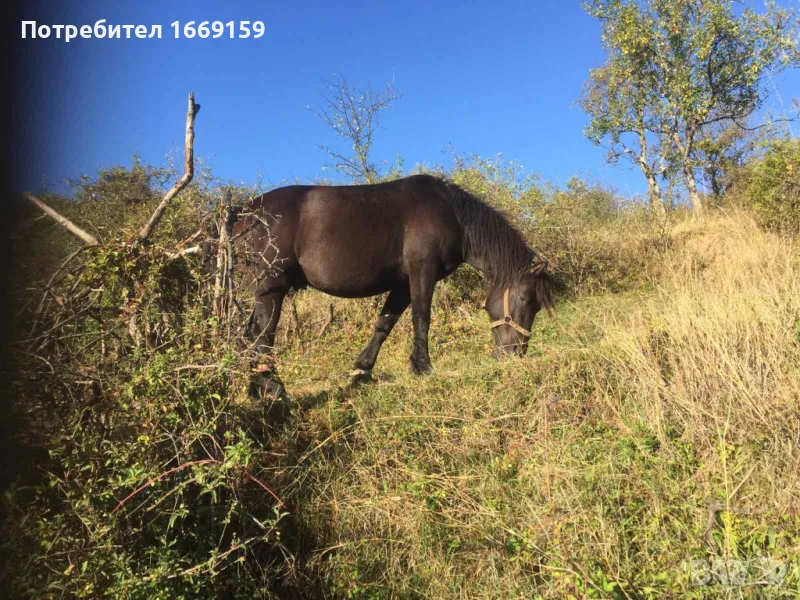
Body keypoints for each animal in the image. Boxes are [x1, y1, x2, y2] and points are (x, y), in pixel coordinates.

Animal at [234, 175, 552, 398]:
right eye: (525, 299)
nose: (515, 354)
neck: (451, 212)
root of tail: (244, 213)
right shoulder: (422, 273)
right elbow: (421, 318)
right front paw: (423, 367)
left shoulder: (401, 284)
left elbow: (385, 323)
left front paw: (362, 369)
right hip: (271, 288)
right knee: (262, 335)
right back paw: (276, 389)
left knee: (250, 333)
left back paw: (256, 389)